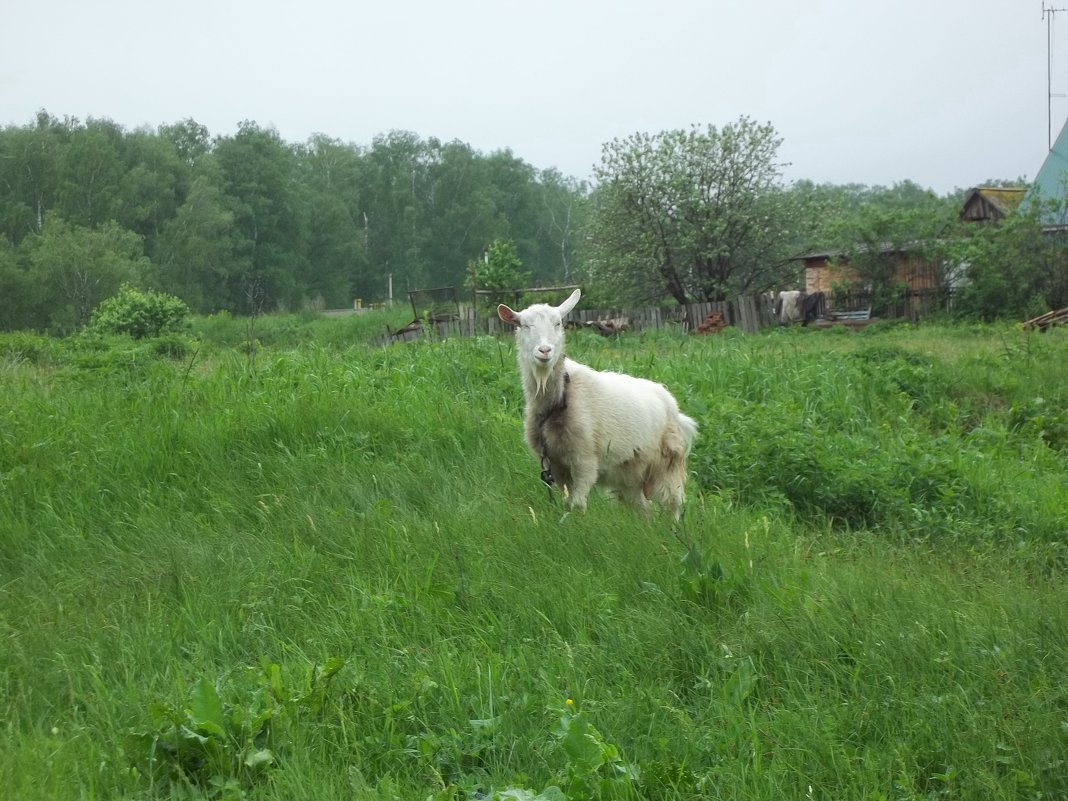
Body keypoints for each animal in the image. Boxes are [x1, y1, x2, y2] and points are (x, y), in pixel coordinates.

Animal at [499, 292, 700, 516]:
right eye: (524, 325)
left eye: (558, 323)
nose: (544, 351)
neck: (559, 398)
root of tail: (671, 402)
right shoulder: (556, 464)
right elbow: (567, 502)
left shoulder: (585, 459)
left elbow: (577, 504)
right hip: (629, 473)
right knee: (644, 508)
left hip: (669, 459)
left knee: (673, 503)